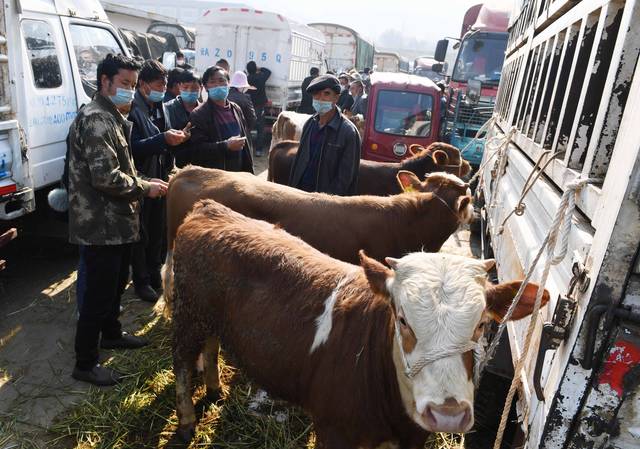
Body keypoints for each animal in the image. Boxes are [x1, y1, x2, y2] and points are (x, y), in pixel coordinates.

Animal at [171, 200, 552, 448]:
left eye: (482, 325)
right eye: (402, 319)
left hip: (209, 318)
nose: (448, 415)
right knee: (182, 363)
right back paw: (187, 421)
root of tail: (210, 208)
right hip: (186, 315)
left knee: (211, 345)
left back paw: (215, 389)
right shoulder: (334, 432)